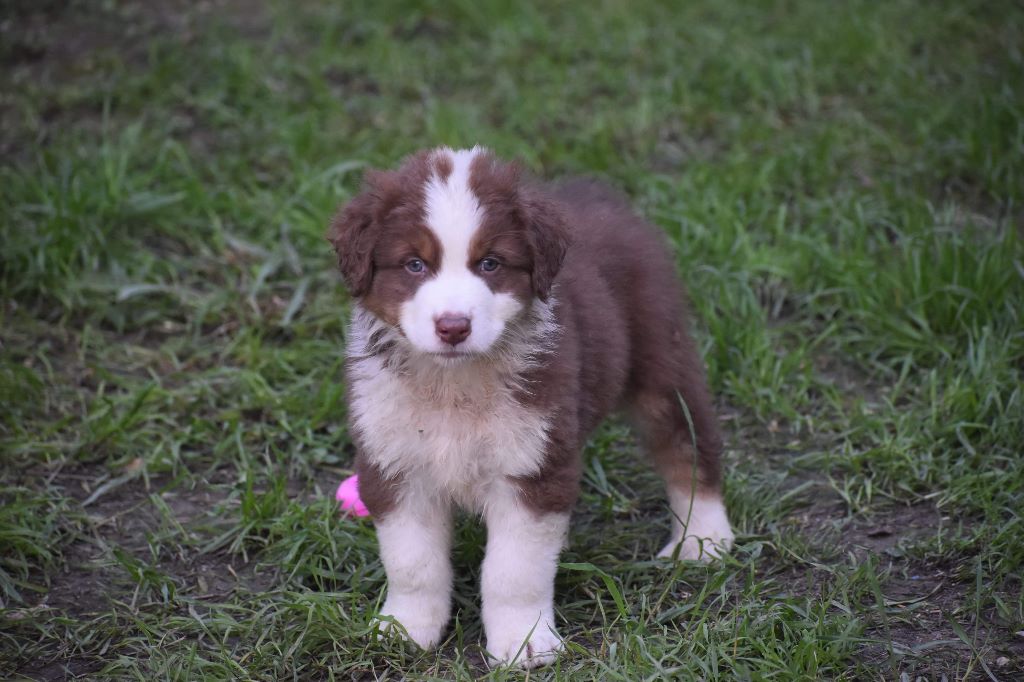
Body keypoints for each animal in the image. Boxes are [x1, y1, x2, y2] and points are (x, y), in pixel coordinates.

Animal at [327, 146, 733, 668]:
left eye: (491, 263)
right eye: (414, 264)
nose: (453, 326)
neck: (454, 383)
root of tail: (601, 196)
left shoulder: (533, 467)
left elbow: (514, 571)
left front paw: (525, 644)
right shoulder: (393, 461)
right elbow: (412, 562)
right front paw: (405, 629)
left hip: (660, 359)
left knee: (688, 443)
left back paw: (702, 539)